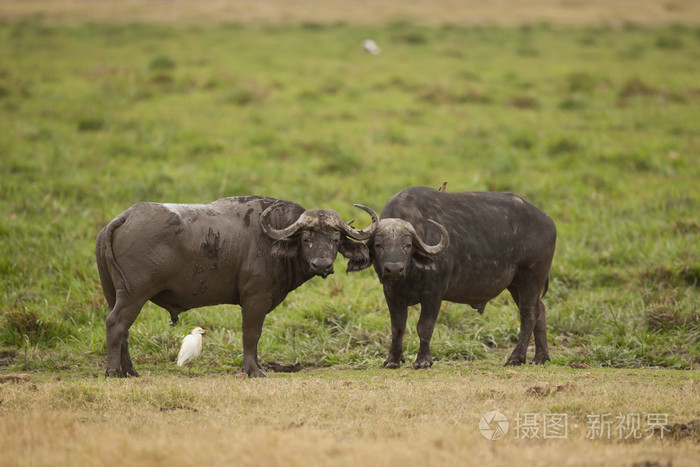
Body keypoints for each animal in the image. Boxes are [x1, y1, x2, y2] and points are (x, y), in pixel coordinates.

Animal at [97, 196, 378, 378]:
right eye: (307, 239)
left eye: (335, 239)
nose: (322, 264)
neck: (272, 242)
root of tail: (123, 217)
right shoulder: (255, 299)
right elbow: (251, 334)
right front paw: (253, 370)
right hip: (134, 295)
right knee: (116, 325)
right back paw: (113, 371)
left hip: (114, 295)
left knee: (123, 330)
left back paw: (129, 371)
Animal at [350, 186, 556, 370]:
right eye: (378, 245)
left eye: (407, 245)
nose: (394, 269)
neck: (408, 275)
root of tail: (548, 221)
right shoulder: (391, 294)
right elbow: (397, 327)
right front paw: (392, 360)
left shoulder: (433, 294)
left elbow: (424, 327)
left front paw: (423, 361)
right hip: (515, 285)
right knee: (540, 309)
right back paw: (540, 357)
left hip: (530, 279)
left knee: (528, 314)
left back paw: (516, 358)